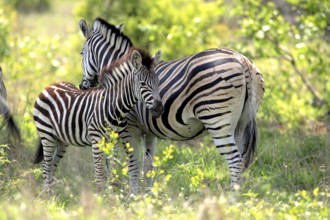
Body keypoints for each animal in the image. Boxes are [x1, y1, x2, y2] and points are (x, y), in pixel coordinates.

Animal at [32, 47, 163, 192]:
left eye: (158, 83)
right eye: (143, 84)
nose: (159, 109)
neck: (114, 106)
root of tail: (50, 85)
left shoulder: (115, 141)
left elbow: (112, 174)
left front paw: (111, 195)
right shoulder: (96, 140)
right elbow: (100, 176)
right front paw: (101, 196)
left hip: (61, 140)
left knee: (52, 167)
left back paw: (51, 195)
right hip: (47, 135)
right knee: (46, 167)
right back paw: (46, 194)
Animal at [79, 18, 266, 193]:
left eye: (81, 53)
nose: (83, 86)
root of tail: (242, 61)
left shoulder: (129, 128)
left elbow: (130, 164)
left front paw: (131, 196)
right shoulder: (148, 132)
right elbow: (148, 166)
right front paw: (147, 197)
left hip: (217, 121)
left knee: (235, 161)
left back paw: (230, 199)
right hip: (242, 123)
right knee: (242, 160)